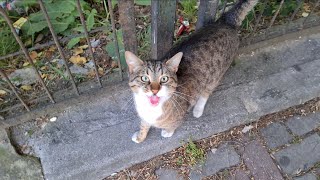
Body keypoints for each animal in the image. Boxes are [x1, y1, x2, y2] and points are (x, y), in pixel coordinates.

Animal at [124, 0, 258, 143]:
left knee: (206, 92)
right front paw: (140, 136)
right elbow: (144, 124)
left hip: (215, 76)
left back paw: (198, 109)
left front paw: (167, 132)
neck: (151, 109)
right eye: (144, 78)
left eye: (164, 79)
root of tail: (225, 22)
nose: (154, 90)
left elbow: (173, 124)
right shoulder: (144, 117)